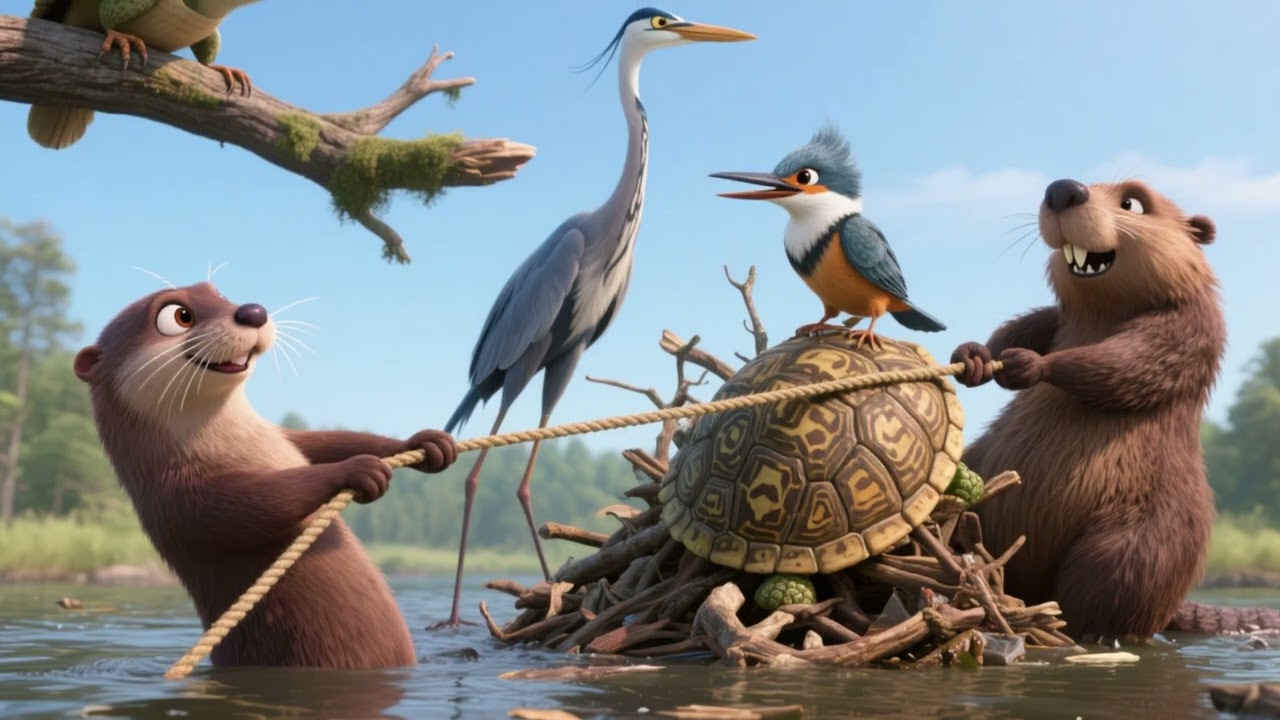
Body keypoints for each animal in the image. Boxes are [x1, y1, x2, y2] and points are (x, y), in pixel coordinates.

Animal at [73, 281, 458, 668]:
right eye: (178, 315)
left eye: (218, 292)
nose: (253, 311)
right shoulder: (173, 501)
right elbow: (249, 505)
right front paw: (356, 469)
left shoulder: (281, 436)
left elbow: (322, 442)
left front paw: (424, 443)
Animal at [950, 178, 1223, 642]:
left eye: (1133, 201)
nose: (1063, 190)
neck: (1101, 312)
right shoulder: (1060, 318)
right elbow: (1029, 323)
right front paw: (975, 356)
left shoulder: (1196, 323)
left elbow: (1134, 359)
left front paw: (1029, 365)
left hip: (1140, 542)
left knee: (1103, 588)